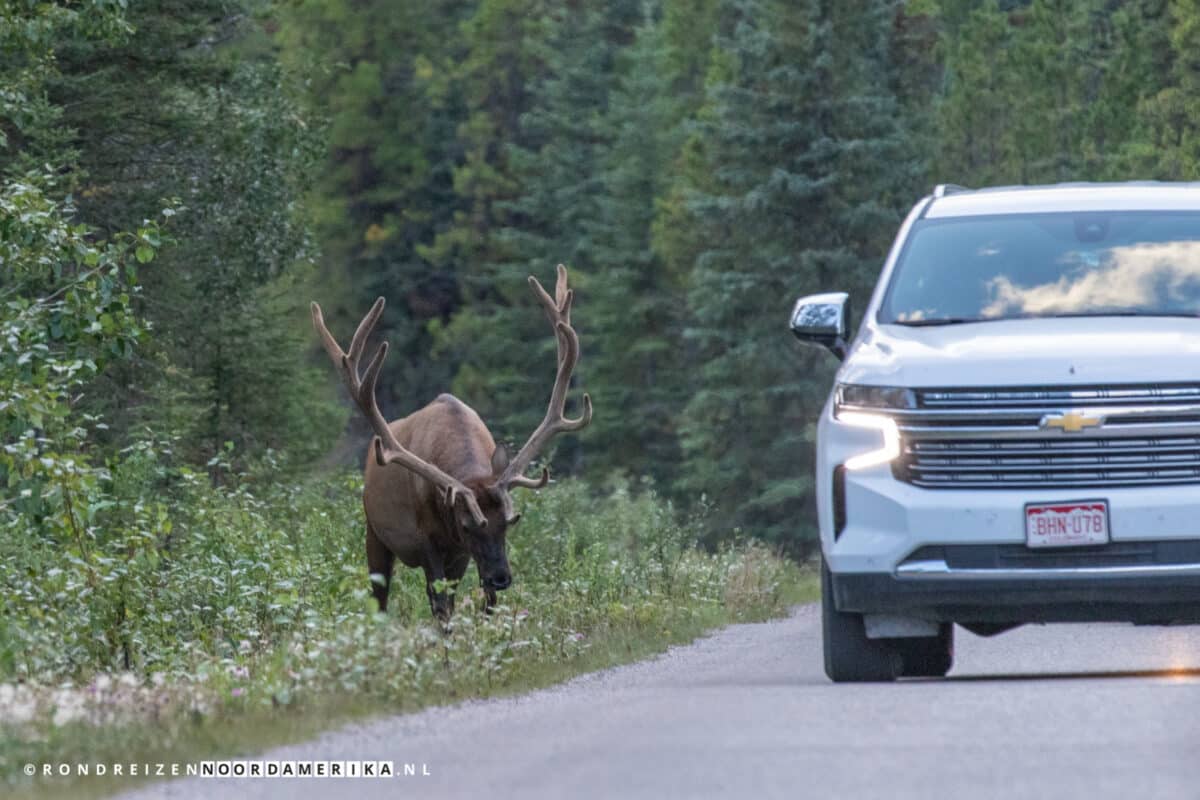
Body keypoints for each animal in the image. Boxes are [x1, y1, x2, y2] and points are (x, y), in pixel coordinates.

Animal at [309, 266, 590, 623]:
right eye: (468, 525)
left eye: (509, 522)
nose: (501, 578)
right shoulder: (430, 541)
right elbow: (441, 605)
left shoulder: (461, 554)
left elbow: (472, 603)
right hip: (374, 532)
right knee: (380, 599)